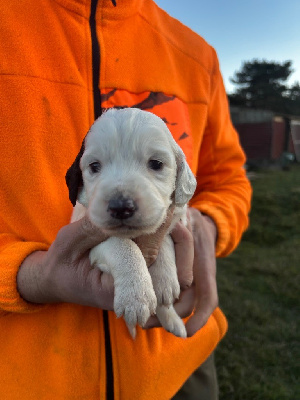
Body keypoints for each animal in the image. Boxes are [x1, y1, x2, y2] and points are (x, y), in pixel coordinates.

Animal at [65, 107, 197, 338]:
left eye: (156, 164)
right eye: (94, 166)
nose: (121, 206)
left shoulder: (173, 219)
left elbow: (163, 238)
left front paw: (164, 281)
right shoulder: (91, 239)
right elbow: (122, 246)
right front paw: (137, 296)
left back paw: (173, 321)